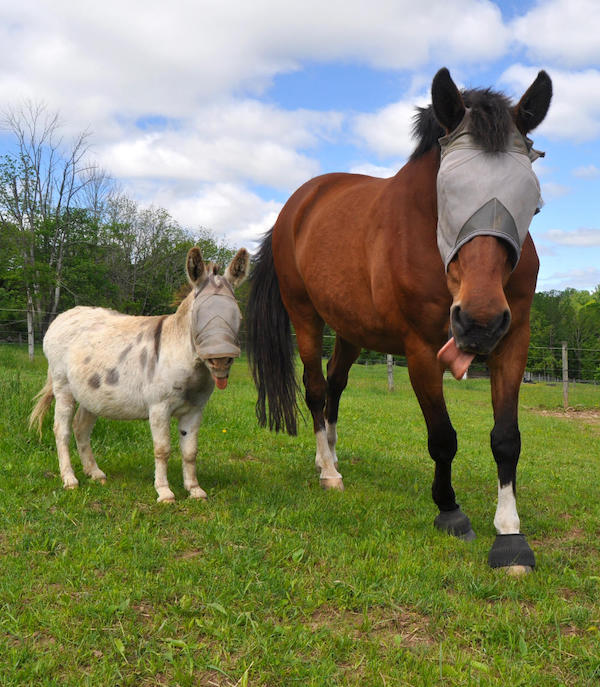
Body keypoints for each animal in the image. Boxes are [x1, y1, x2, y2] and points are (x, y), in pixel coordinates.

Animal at [30, 246, 250, 502]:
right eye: (198, 317)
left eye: (238, 316)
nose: (221, 359)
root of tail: (64, 315)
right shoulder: (159, 408)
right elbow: (162, 449)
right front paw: (164, 492)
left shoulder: (195, 410)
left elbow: (190, 451)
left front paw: (195, 490)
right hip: (63, 386)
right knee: (62, 430)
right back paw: (70, 479)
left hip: (91, 393)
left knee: (80, 428)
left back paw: (95, 473)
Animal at [247, 68, 552, 573]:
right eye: (446, 191)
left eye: (530, 196)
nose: (479, 321)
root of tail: (299, 204)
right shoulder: (420, 350)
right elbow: (443, 437)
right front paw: (449, 511)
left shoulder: (514, 341)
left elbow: (507, 438)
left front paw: (510, 535)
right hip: (305, 318)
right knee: (315, 389)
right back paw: (328, 471)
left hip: (350, 332)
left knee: (334, 388)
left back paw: (330, 456)